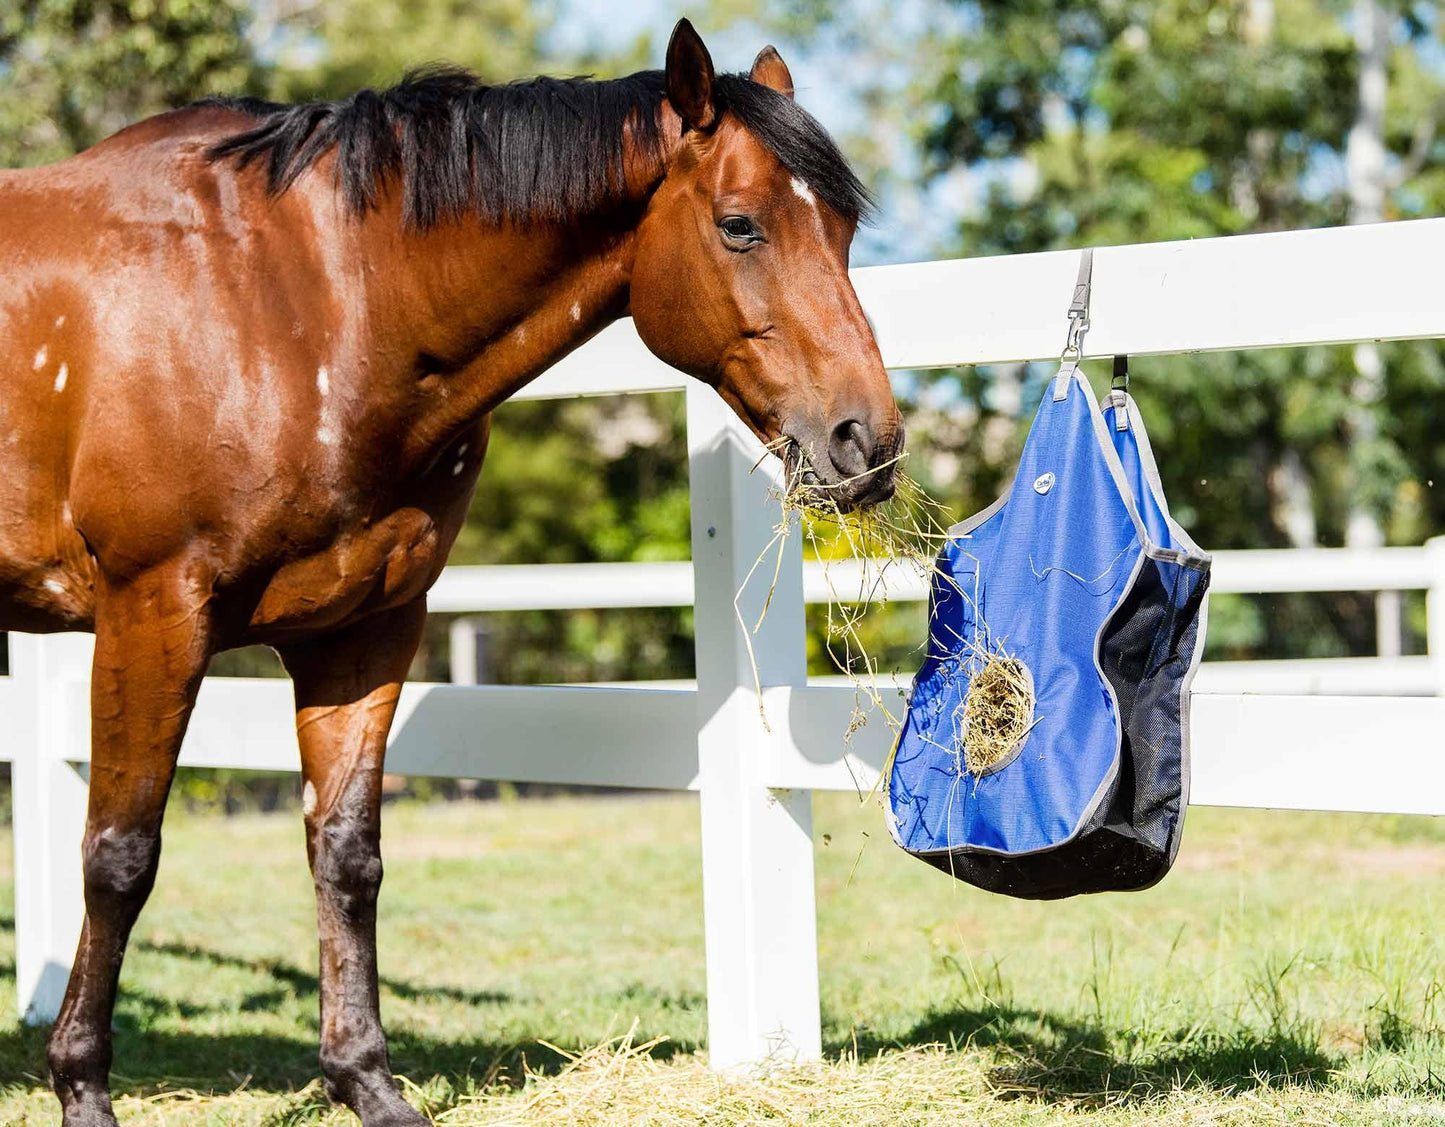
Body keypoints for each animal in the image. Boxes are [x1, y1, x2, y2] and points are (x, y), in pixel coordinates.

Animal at [0, 18, 902, 1125]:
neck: (303, 304)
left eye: (846, 228)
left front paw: (367, 1082)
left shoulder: (365, 627)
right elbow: (119, 855)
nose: (867, 442)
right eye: (739, 225)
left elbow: (346, 854)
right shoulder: (153, 611)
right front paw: (83, 1086)